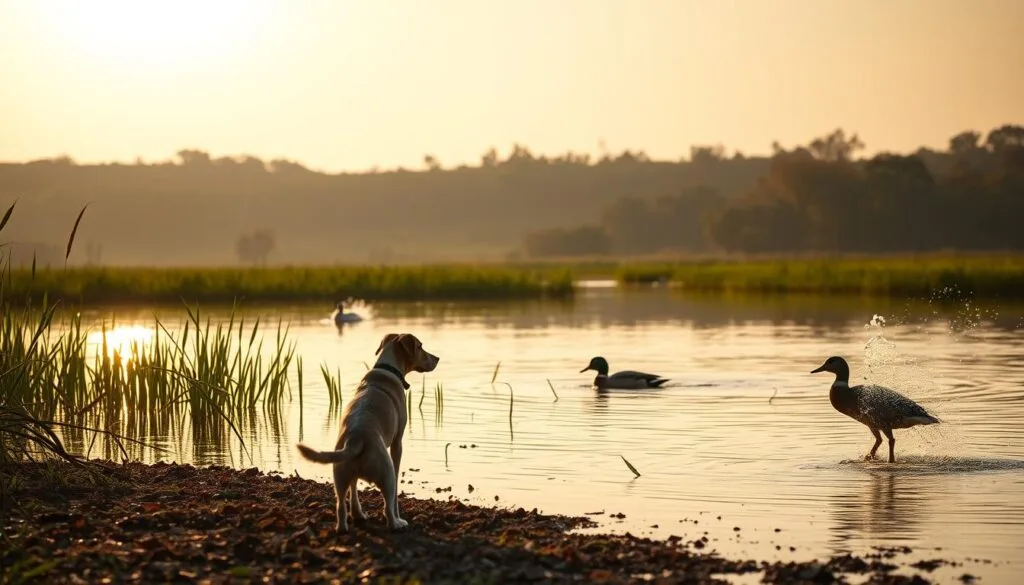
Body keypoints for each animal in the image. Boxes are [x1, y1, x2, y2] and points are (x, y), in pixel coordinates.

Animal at [296, 333, 440, 532]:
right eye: (420, 347)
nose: (437, 358)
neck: (387, 368)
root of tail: (356, 439)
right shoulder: (397, 442)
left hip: (340, 473)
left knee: (342, 503)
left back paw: (348, 523)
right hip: (386, 472)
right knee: (388, 506)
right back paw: (397, 523)